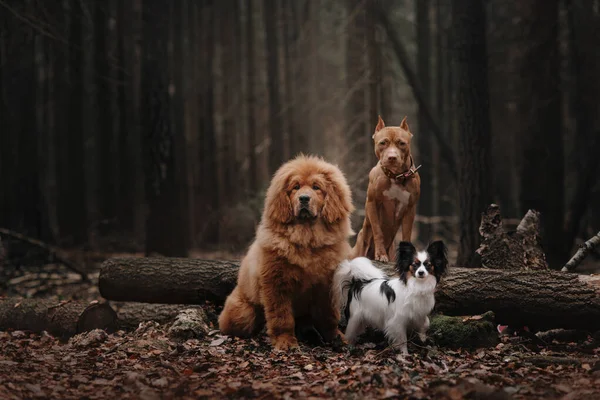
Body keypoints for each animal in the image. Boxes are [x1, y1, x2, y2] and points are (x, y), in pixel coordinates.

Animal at [218, 155, 354, 350]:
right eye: (295, 187)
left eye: (316, 187)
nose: (304, 198)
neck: (307, 238)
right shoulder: (277, 283)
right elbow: (281, 317)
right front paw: (285, 341)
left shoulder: (326, 284)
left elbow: (328, 315)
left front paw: (336, 337)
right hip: (243, 313)